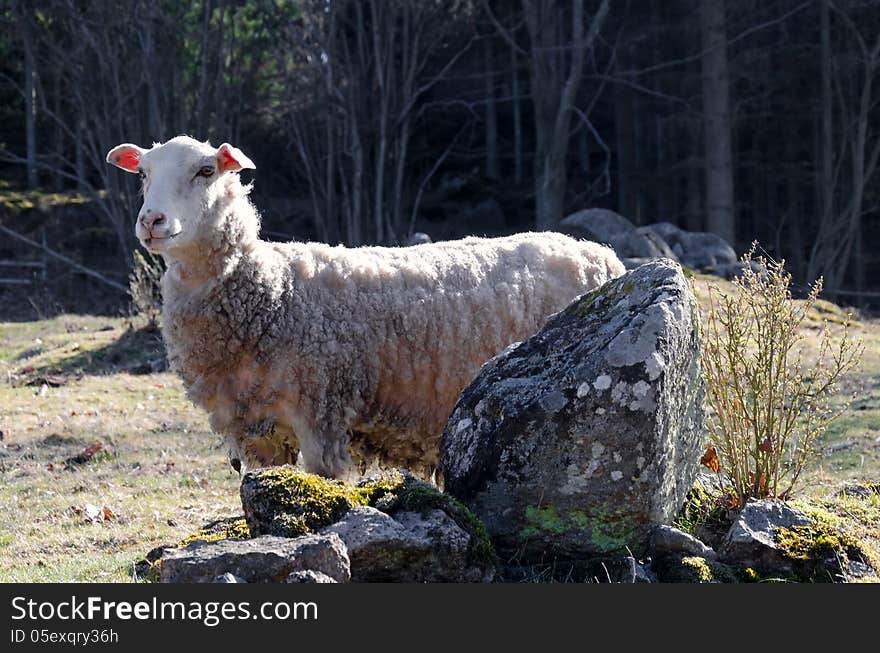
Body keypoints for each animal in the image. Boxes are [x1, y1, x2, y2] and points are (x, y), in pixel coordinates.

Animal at [106, 135, 624, 478]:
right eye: (143, 174)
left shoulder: (321, 411)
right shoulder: (255, 430)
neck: (271, 291)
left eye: (205, 172)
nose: (151, 221)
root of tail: (599, 255)